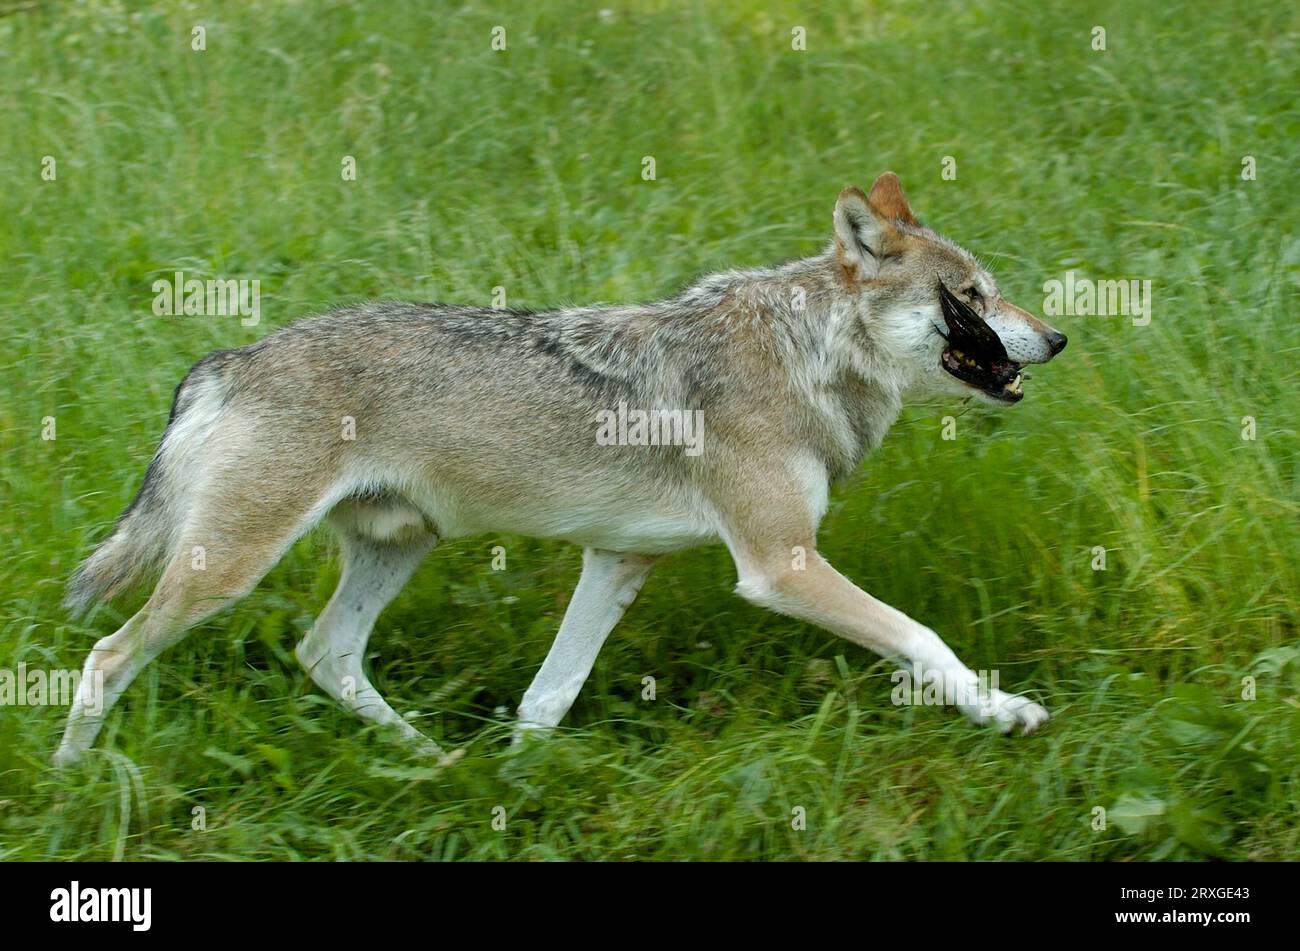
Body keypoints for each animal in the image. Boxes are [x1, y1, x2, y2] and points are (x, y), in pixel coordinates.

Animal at [53, 172, 1066, 763]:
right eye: (971, 296)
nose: (1057, 337)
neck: (805, 355)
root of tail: (232, 358)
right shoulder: (780, 567)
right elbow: (923, 639)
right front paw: (1004, 710)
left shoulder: (618, 560)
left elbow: (548, 696)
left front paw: (515, 782)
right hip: (225, 568)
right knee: (107, 656)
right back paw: (78, 782)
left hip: (394, 550)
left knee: (325, 652)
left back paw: (436, 763)